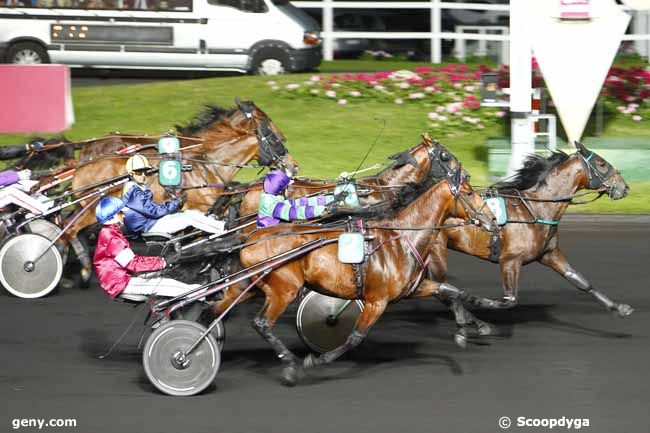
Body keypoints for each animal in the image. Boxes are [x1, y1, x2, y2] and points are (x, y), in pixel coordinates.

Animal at [238, 156, 492, 384]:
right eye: (469, 192)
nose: (491, 220)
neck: (403, 239)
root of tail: (251, 240)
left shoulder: (413, 288)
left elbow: (450, 290)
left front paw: (470, 324)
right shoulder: (377, 301)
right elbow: (355, 337)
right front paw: (317, 360)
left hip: (260, 288)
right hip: (284, 290)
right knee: (261, 323)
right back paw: (290, 365)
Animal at [428, 141, 632, 318]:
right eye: (602, 163)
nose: (625, 187)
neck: (536, 208)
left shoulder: (549, 254)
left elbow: (580, 281)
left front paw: (619, 308)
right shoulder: (510, 260)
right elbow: (508, 300)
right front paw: (474, 302)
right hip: (436, 250)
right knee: (437, 286)